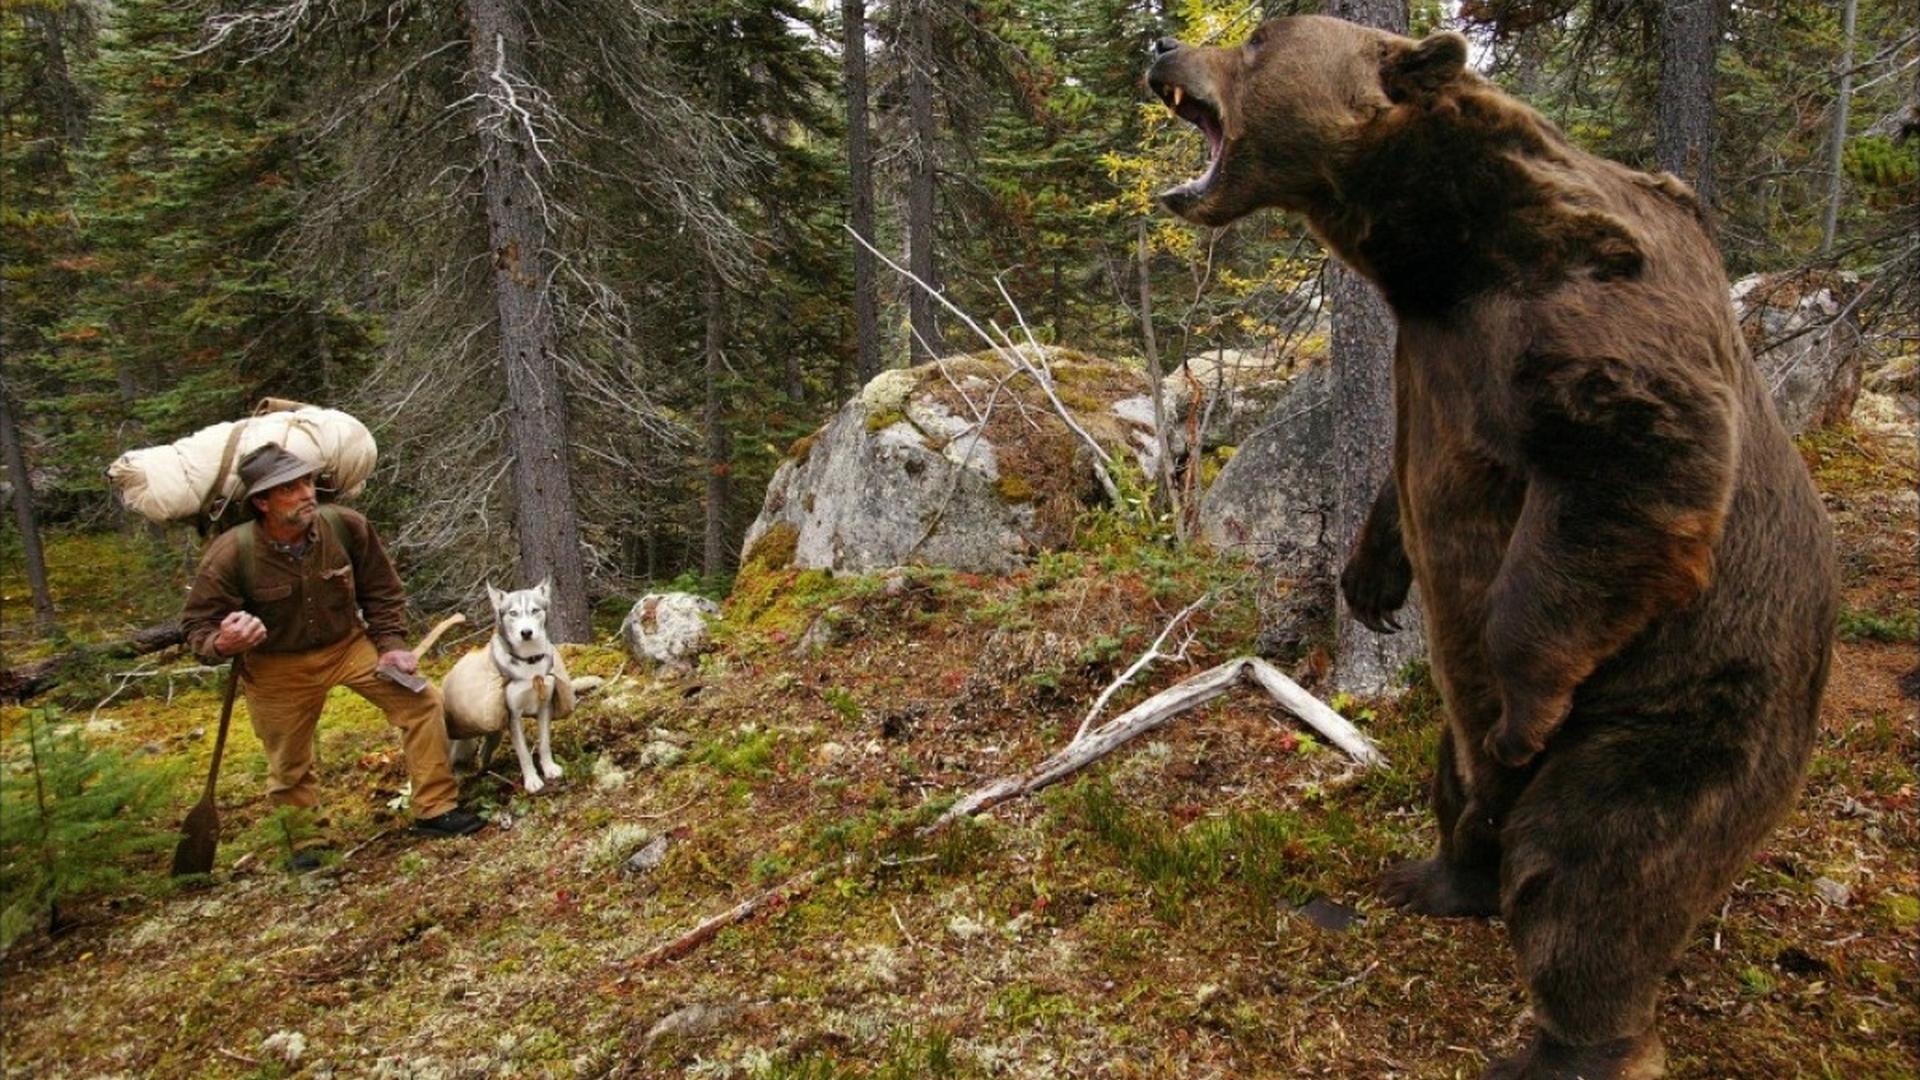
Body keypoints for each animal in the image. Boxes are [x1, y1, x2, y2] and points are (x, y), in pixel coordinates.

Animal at [1144, 14, 1835, 1076]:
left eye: (1260, 38)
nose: (1161, 51)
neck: (1439, 258)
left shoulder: (1588, 292)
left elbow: (1634, 453)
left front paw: (1525, 703)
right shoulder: (1433, 358)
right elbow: (1405, 485)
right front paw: (1369, 577)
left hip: (1695, 707)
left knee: (1591, 872)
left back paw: (1560, 1040)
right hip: (1481, 731)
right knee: (1458, 784)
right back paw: (1431, 875)